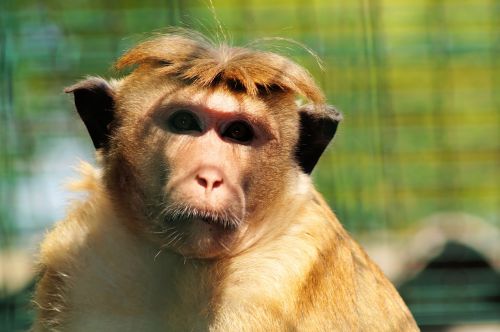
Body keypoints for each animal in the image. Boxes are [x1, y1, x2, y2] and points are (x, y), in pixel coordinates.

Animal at [33, 31, 420, 332]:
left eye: (238, 133)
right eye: (185, 122)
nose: (209, 177)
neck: (186, 264)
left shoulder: (272, 282)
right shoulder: (84, 257)